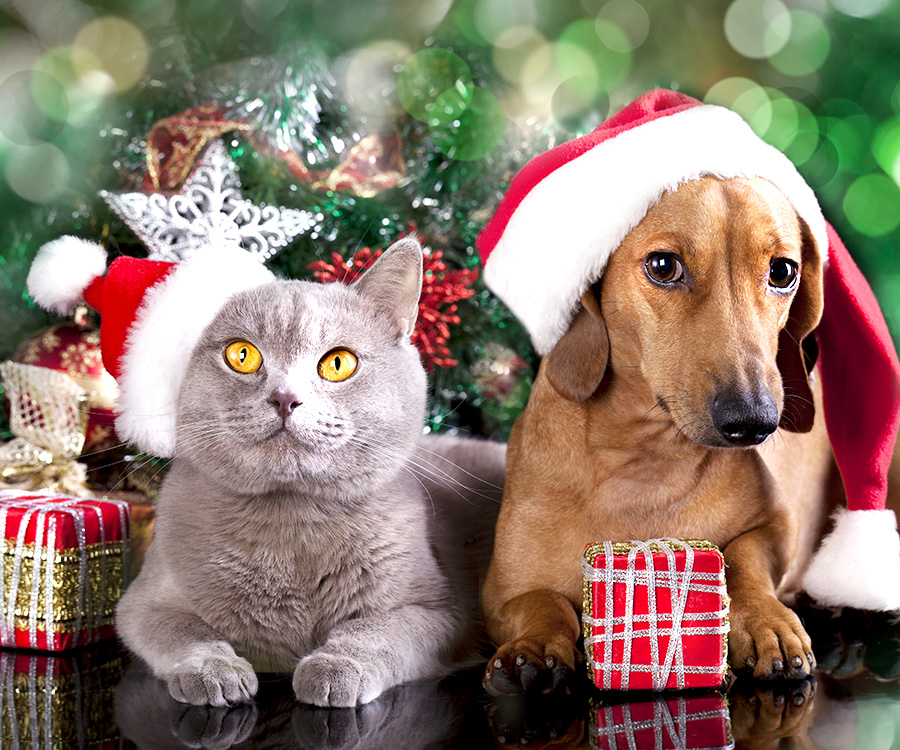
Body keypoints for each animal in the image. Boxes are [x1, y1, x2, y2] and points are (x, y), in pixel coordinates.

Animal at [115, 241, 502, 712]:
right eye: (241, 355)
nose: (285, 397)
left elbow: (374, 632)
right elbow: (183, 631)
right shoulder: (143, 603)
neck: (294, 525)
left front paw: (334, 669)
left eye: (338, 363)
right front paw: (214, 672)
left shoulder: (437, 611)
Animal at [482, 173, 888, 696]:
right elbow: (539, 602)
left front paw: (766, 623)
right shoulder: (499, 593)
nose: (754, 421)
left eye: (782, 271)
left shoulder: (779, 524)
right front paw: (531, 650)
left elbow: (744, 558)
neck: (646, 462)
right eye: (662, 266)